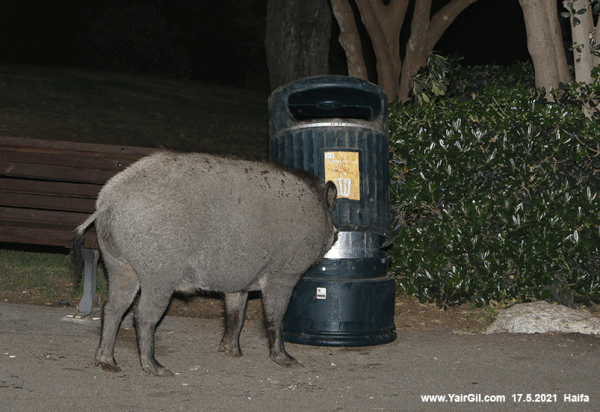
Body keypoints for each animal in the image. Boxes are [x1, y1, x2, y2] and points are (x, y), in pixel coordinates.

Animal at [73, 151, 337, 377]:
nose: (336, 233)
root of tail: (107, 202)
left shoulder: (238, 282)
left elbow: (236, 314)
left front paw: (232, 353)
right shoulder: (284, 275)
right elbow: (276, 317)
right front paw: (288, 361)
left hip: (118, 266)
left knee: (113, 309)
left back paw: (108, 363)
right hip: (159, 274)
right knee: (142, 317)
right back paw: (157, 369)